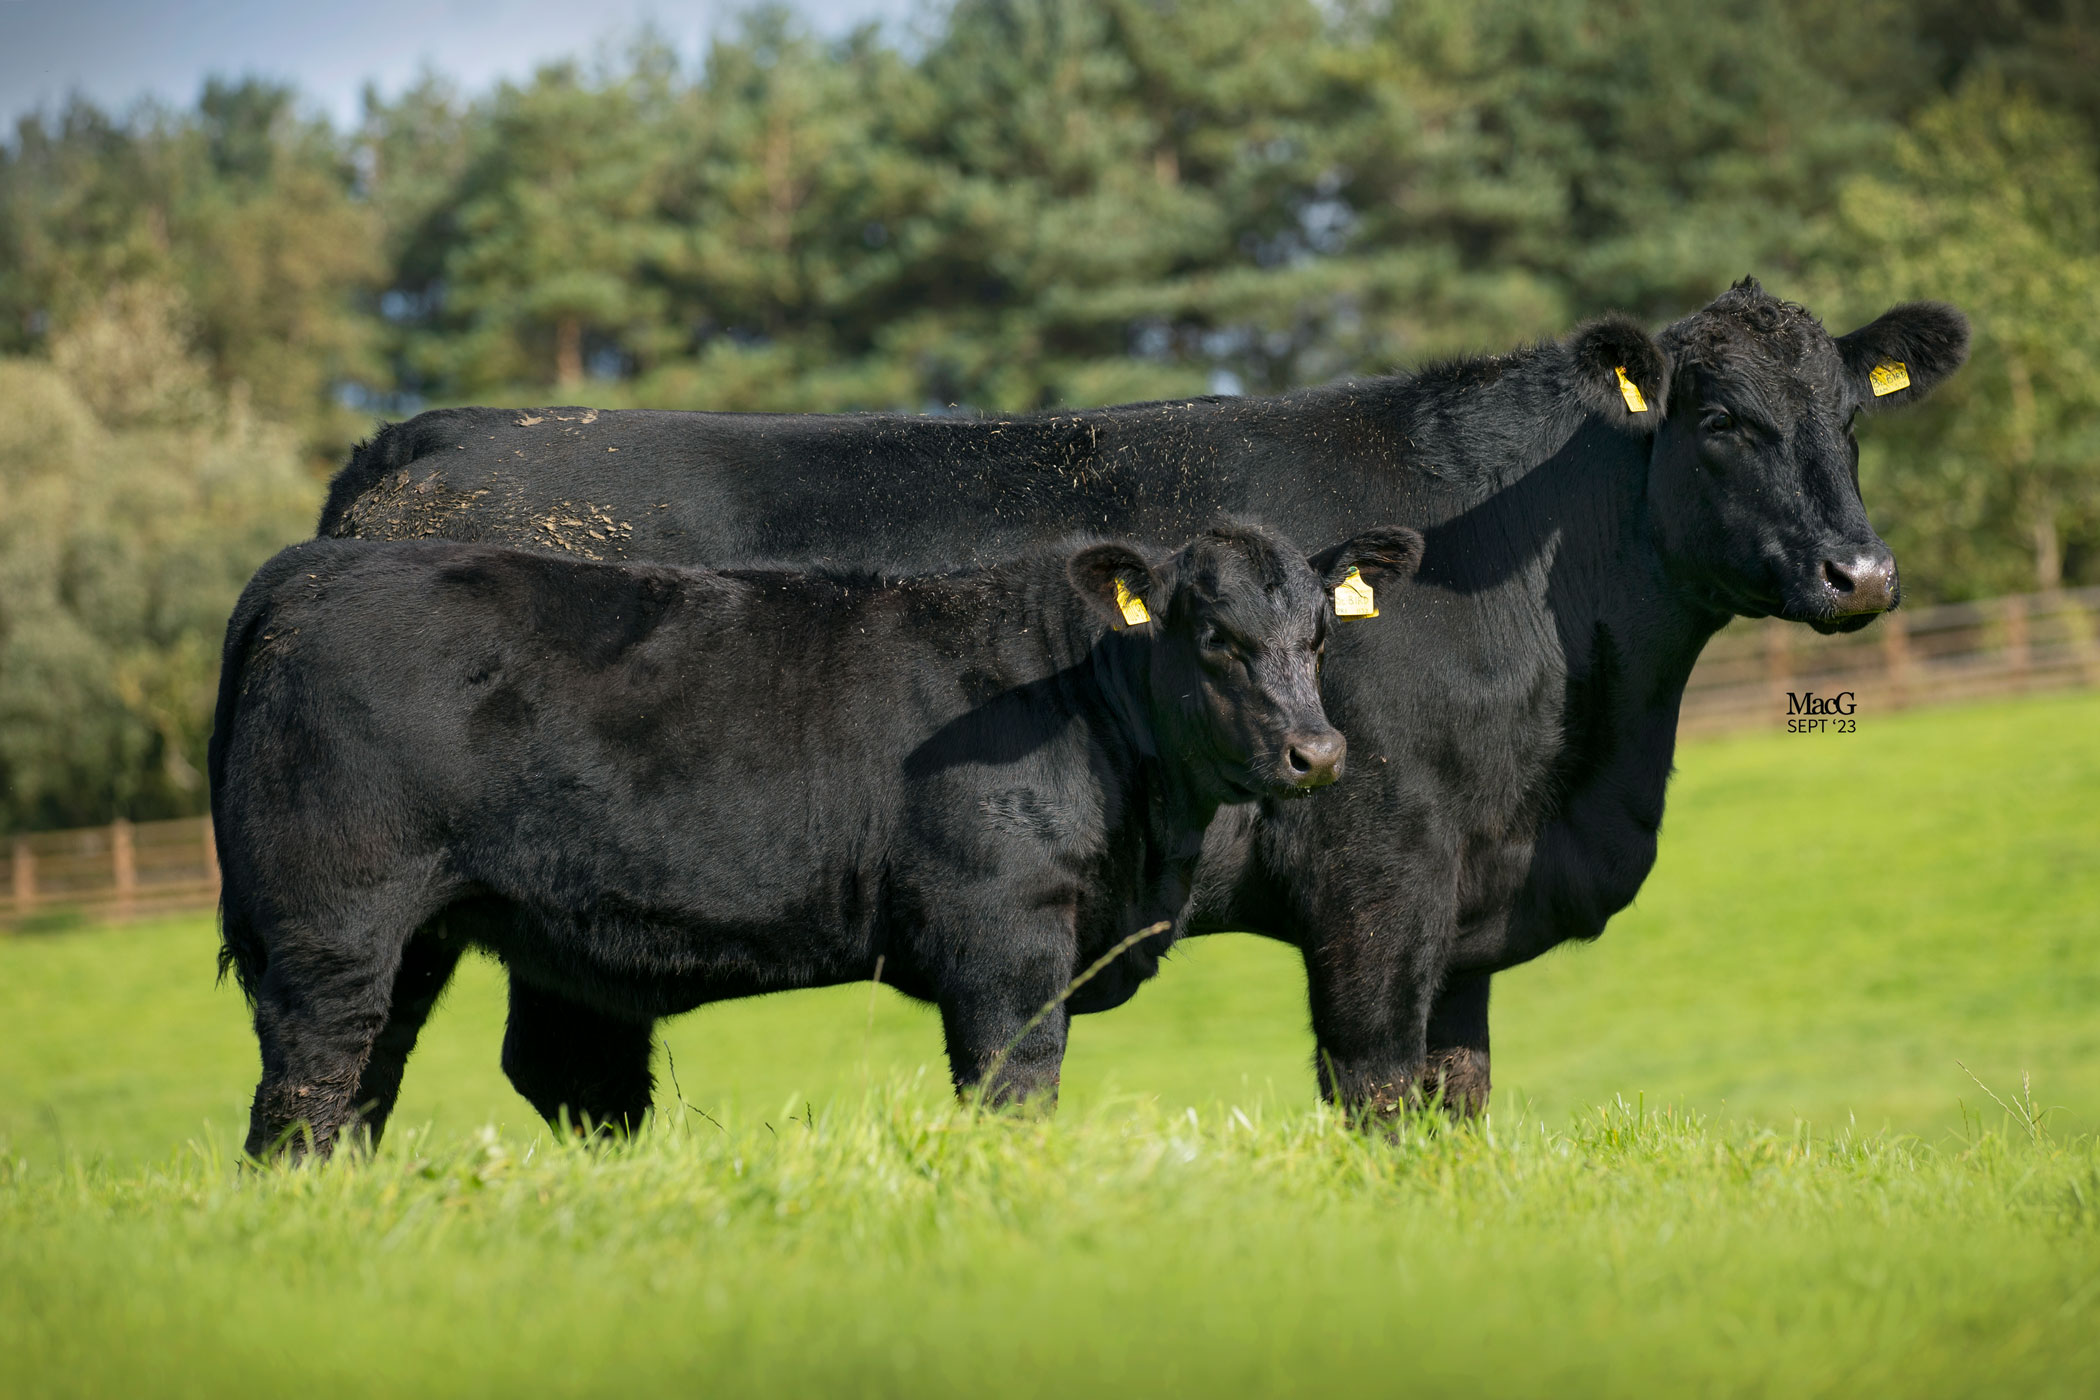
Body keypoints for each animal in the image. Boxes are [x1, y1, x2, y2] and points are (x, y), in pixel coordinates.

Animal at [211, 522, 1424, 1158]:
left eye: (1320, 636)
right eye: (1214, 638)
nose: (1318, 751)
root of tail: (321, 564)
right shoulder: (1005, 932)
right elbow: (1014, 1082)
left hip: (413, 933)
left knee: (370, 1072)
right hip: (335, 920)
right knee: (311, 1074)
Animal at [316, 278, 1971, 1122]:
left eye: (1849, 416)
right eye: (1725, 421)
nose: (1862, 573)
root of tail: (422, 442)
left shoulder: (1472, 909)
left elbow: (1460, 1092)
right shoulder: (1382, 877)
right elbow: (1377, 1085)